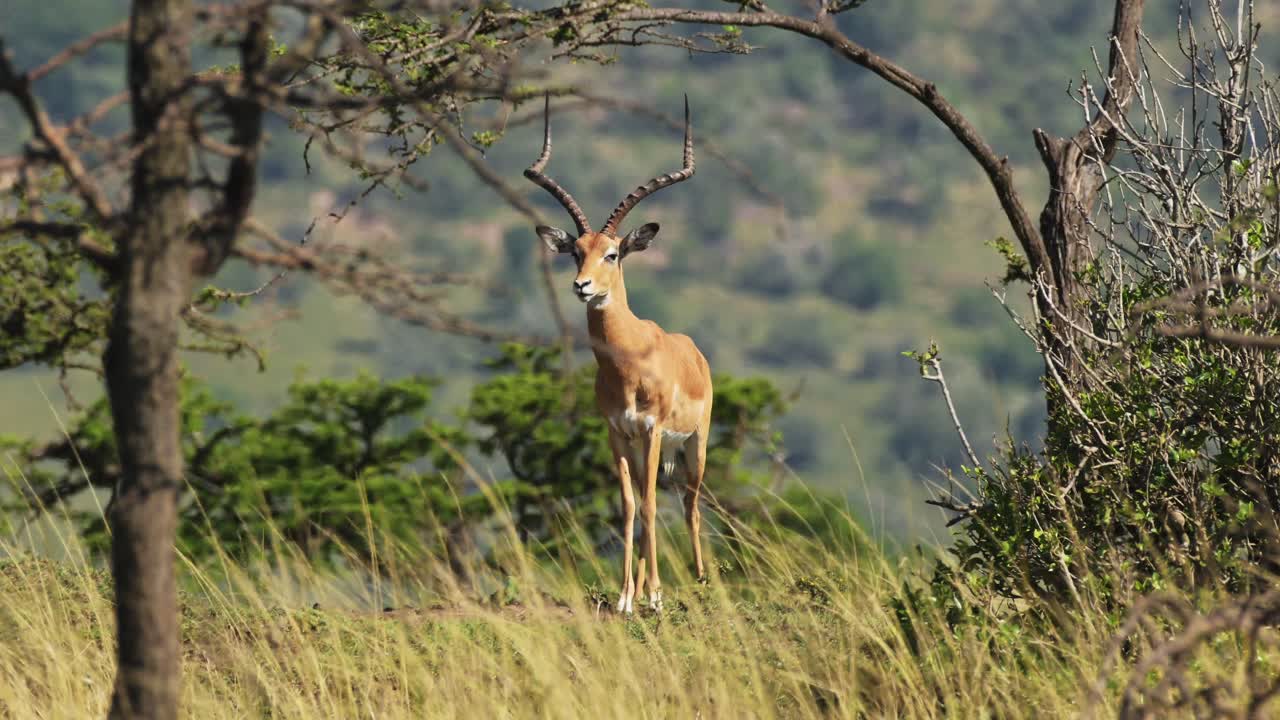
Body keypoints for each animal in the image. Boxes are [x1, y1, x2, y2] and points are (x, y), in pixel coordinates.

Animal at [525, 96, 711, 614]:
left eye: (613, 253)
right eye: (575, 251)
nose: (582, 285)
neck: (628, 366)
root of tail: (695, 352)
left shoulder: (651, 431)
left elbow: (648, 504)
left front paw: (654, 596)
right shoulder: (617, 432)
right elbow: (629, 505)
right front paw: (628, 595)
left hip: (694, 443)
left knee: (690, 504)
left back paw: (699, 582)